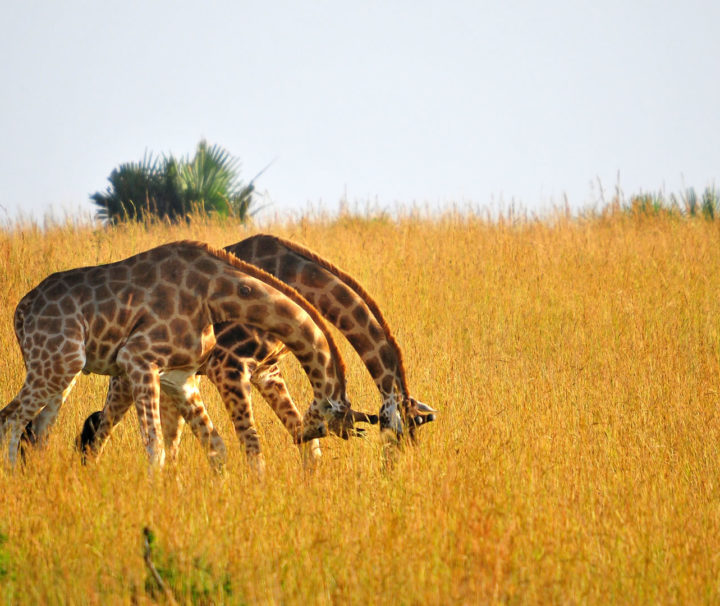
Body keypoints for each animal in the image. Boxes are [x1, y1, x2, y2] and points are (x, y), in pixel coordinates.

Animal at [0, 240, 368, 468]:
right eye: (328, 423)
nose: (302, 435)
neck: (215, 293)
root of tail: (22, 310)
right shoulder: (138, 359)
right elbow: (157, 448)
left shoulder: (180, 377)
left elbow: (213, 446)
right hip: (59, 363)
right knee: (11, 420)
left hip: (62, 371)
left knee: (39, 431)